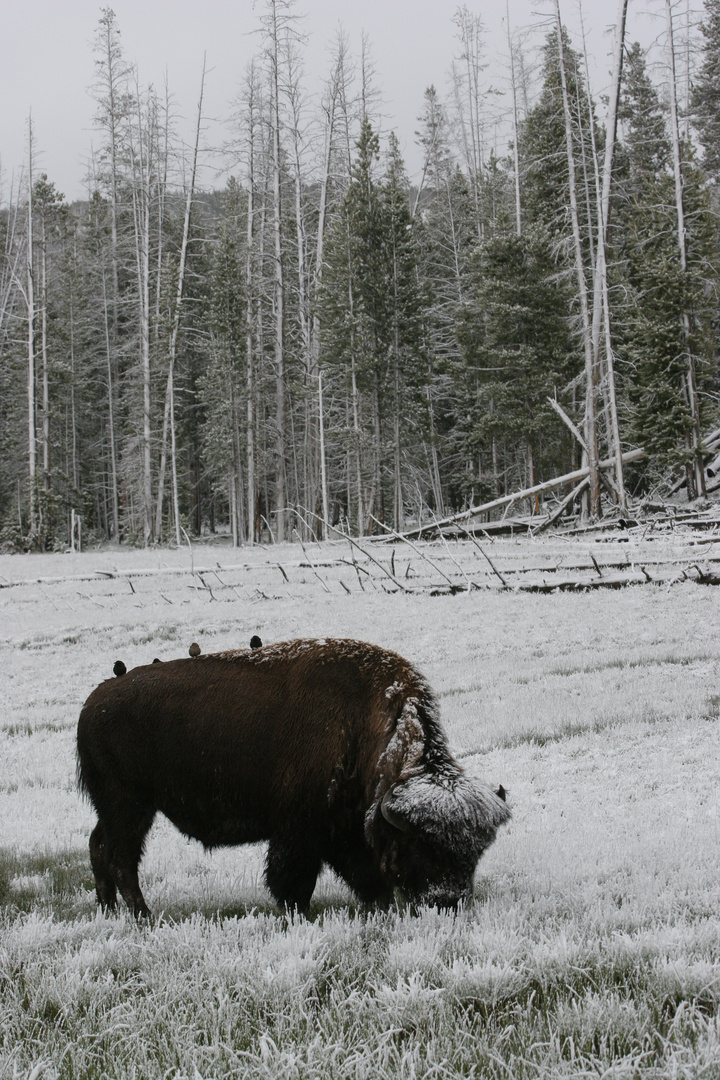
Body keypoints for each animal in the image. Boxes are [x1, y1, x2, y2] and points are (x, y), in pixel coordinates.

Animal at [76, 635, 509, 915]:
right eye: (421, 845)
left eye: (477, 851)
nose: (449, 901)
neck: (363, 722)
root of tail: (93, 703)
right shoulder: (300, 831)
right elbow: (294, 880)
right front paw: (297, 913)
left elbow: (364, 877)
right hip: (129, 806)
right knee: (122, 858)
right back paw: (143, 917)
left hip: (117, 809)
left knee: (99, 845)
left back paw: (108, 909)